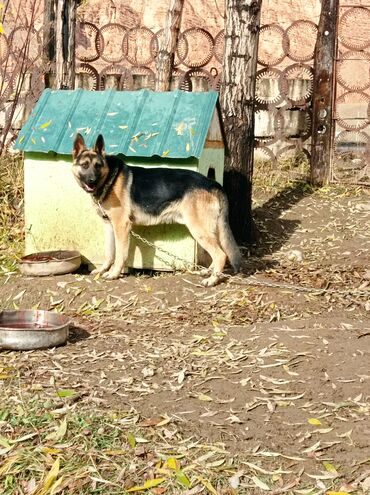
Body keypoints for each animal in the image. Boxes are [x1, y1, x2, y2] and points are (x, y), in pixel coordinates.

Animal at [72, 133, 241, 286]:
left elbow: (120, 254)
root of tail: (213, 183)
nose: (92, 181)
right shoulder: (109, 226)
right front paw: (102, 270)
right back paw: (209, 272)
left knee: (221, 254)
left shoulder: (121, 226)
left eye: (98, 166)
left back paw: (212, 280)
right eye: (85, 165)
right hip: (209, 229)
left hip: (199, 230)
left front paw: (114, 273)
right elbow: (109, 253)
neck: (109, 179)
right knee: (219, 252)